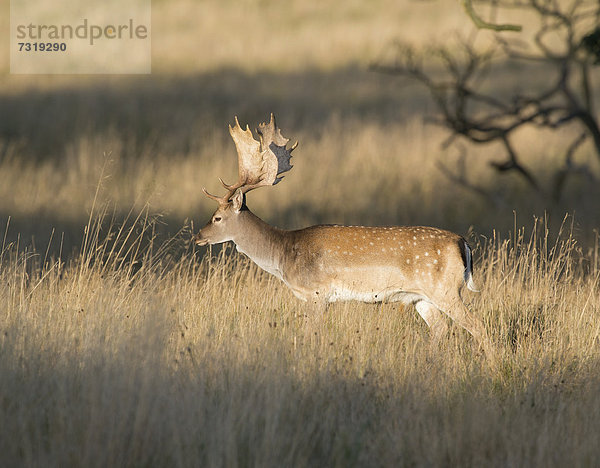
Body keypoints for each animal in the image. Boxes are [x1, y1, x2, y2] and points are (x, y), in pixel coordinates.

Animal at [195, 114, 490, 352]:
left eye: (217, 217)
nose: (198, 236)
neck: (284, 254)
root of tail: (463, 243)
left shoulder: (317, 294)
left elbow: (309, 335)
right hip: (422, 297)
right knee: (441, 328)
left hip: (446, 290)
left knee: (479, 327)